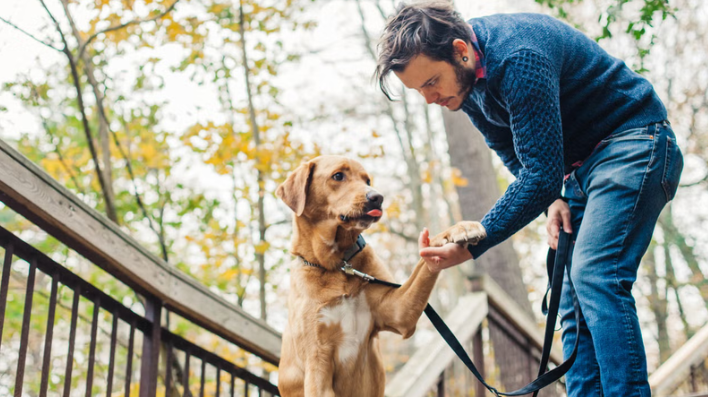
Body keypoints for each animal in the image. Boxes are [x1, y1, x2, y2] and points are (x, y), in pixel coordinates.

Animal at [274, 155, 484, 396]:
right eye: (338, 176)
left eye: (367, 180)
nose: (377, 197)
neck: (338, 265)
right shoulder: (317, 361)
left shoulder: (399, 313)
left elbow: (425, 257)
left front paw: (460, 229)